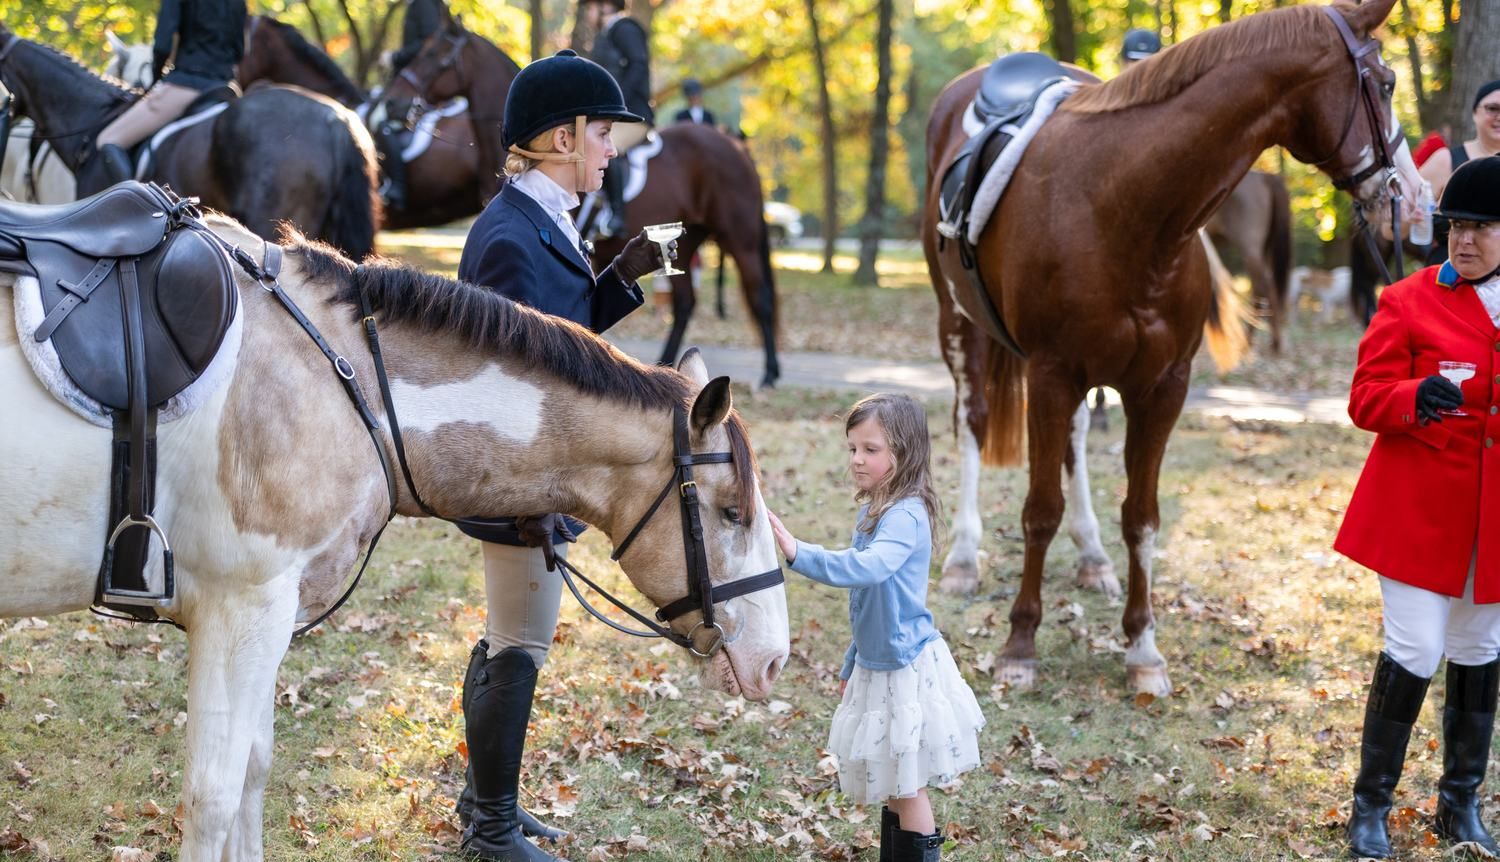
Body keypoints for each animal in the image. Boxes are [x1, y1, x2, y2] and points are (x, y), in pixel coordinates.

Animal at [0, 204, 790, 859]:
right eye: (730, 511)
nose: (775, 661)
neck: (344, 382)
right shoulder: (240, 611)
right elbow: (215, 796)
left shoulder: (263, 621)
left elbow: (253, 772)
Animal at [380, 18, 782, 390]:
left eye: (434, 54)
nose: (393, 103)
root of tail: (733, 144)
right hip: (691, 240)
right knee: (685, 303)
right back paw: (669, 365)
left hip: (739, 234)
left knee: (759, 297)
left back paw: (768, 374)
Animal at [1205, 169, 1294, 352]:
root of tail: (1264, 176)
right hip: (1263, 249)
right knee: (1260, 290)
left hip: (1249, 247)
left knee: (1265, 288)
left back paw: (1274, 343)